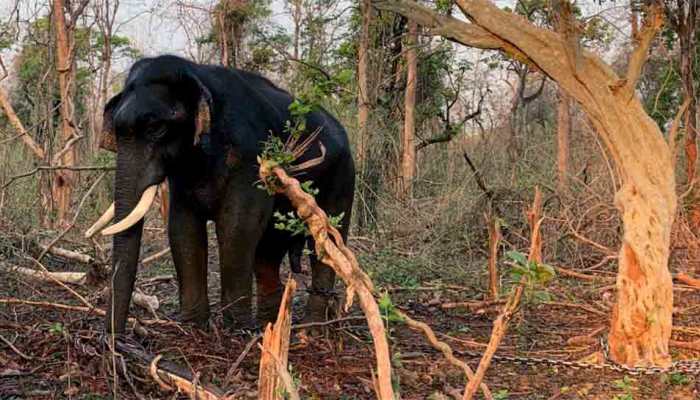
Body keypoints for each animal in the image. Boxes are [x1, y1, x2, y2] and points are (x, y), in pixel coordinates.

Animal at [87, 54, 356, 332]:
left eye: (157, 129)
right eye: (117, 132)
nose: (115, 337)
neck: (198, 75)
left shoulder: (250, 160)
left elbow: (237, 226)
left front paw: (235, 328)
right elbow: (182, 228)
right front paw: (193, 325)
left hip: (343, 176)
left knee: (325, 241)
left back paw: (311, 326)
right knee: (268, 251)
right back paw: (269, 324)